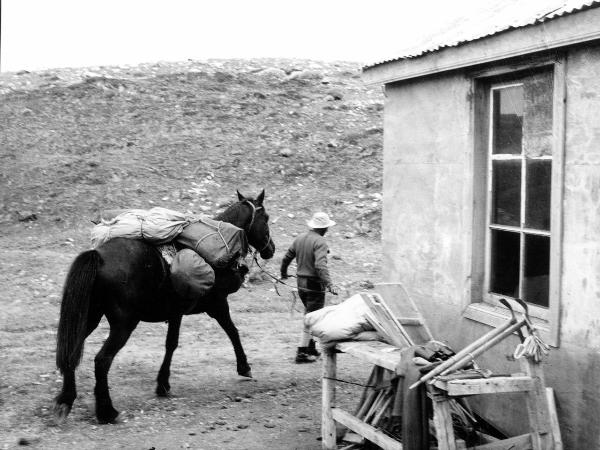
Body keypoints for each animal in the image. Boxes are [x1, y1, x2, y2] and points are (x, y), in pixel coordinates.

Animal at [52, 191, 276, 426]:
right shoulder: (217, 305)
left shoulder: (176, 312)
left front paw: (162, 384)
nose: (271, 249)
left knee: (72, 350)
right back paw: (107, 411)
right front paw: (244, 367)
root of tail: (99, 256)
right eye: (266, 218)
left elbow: (171, 344)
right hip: (123, 324)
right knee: (102, 360)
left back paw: (65, 401)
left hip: (90, 317)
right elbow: (232, 331)